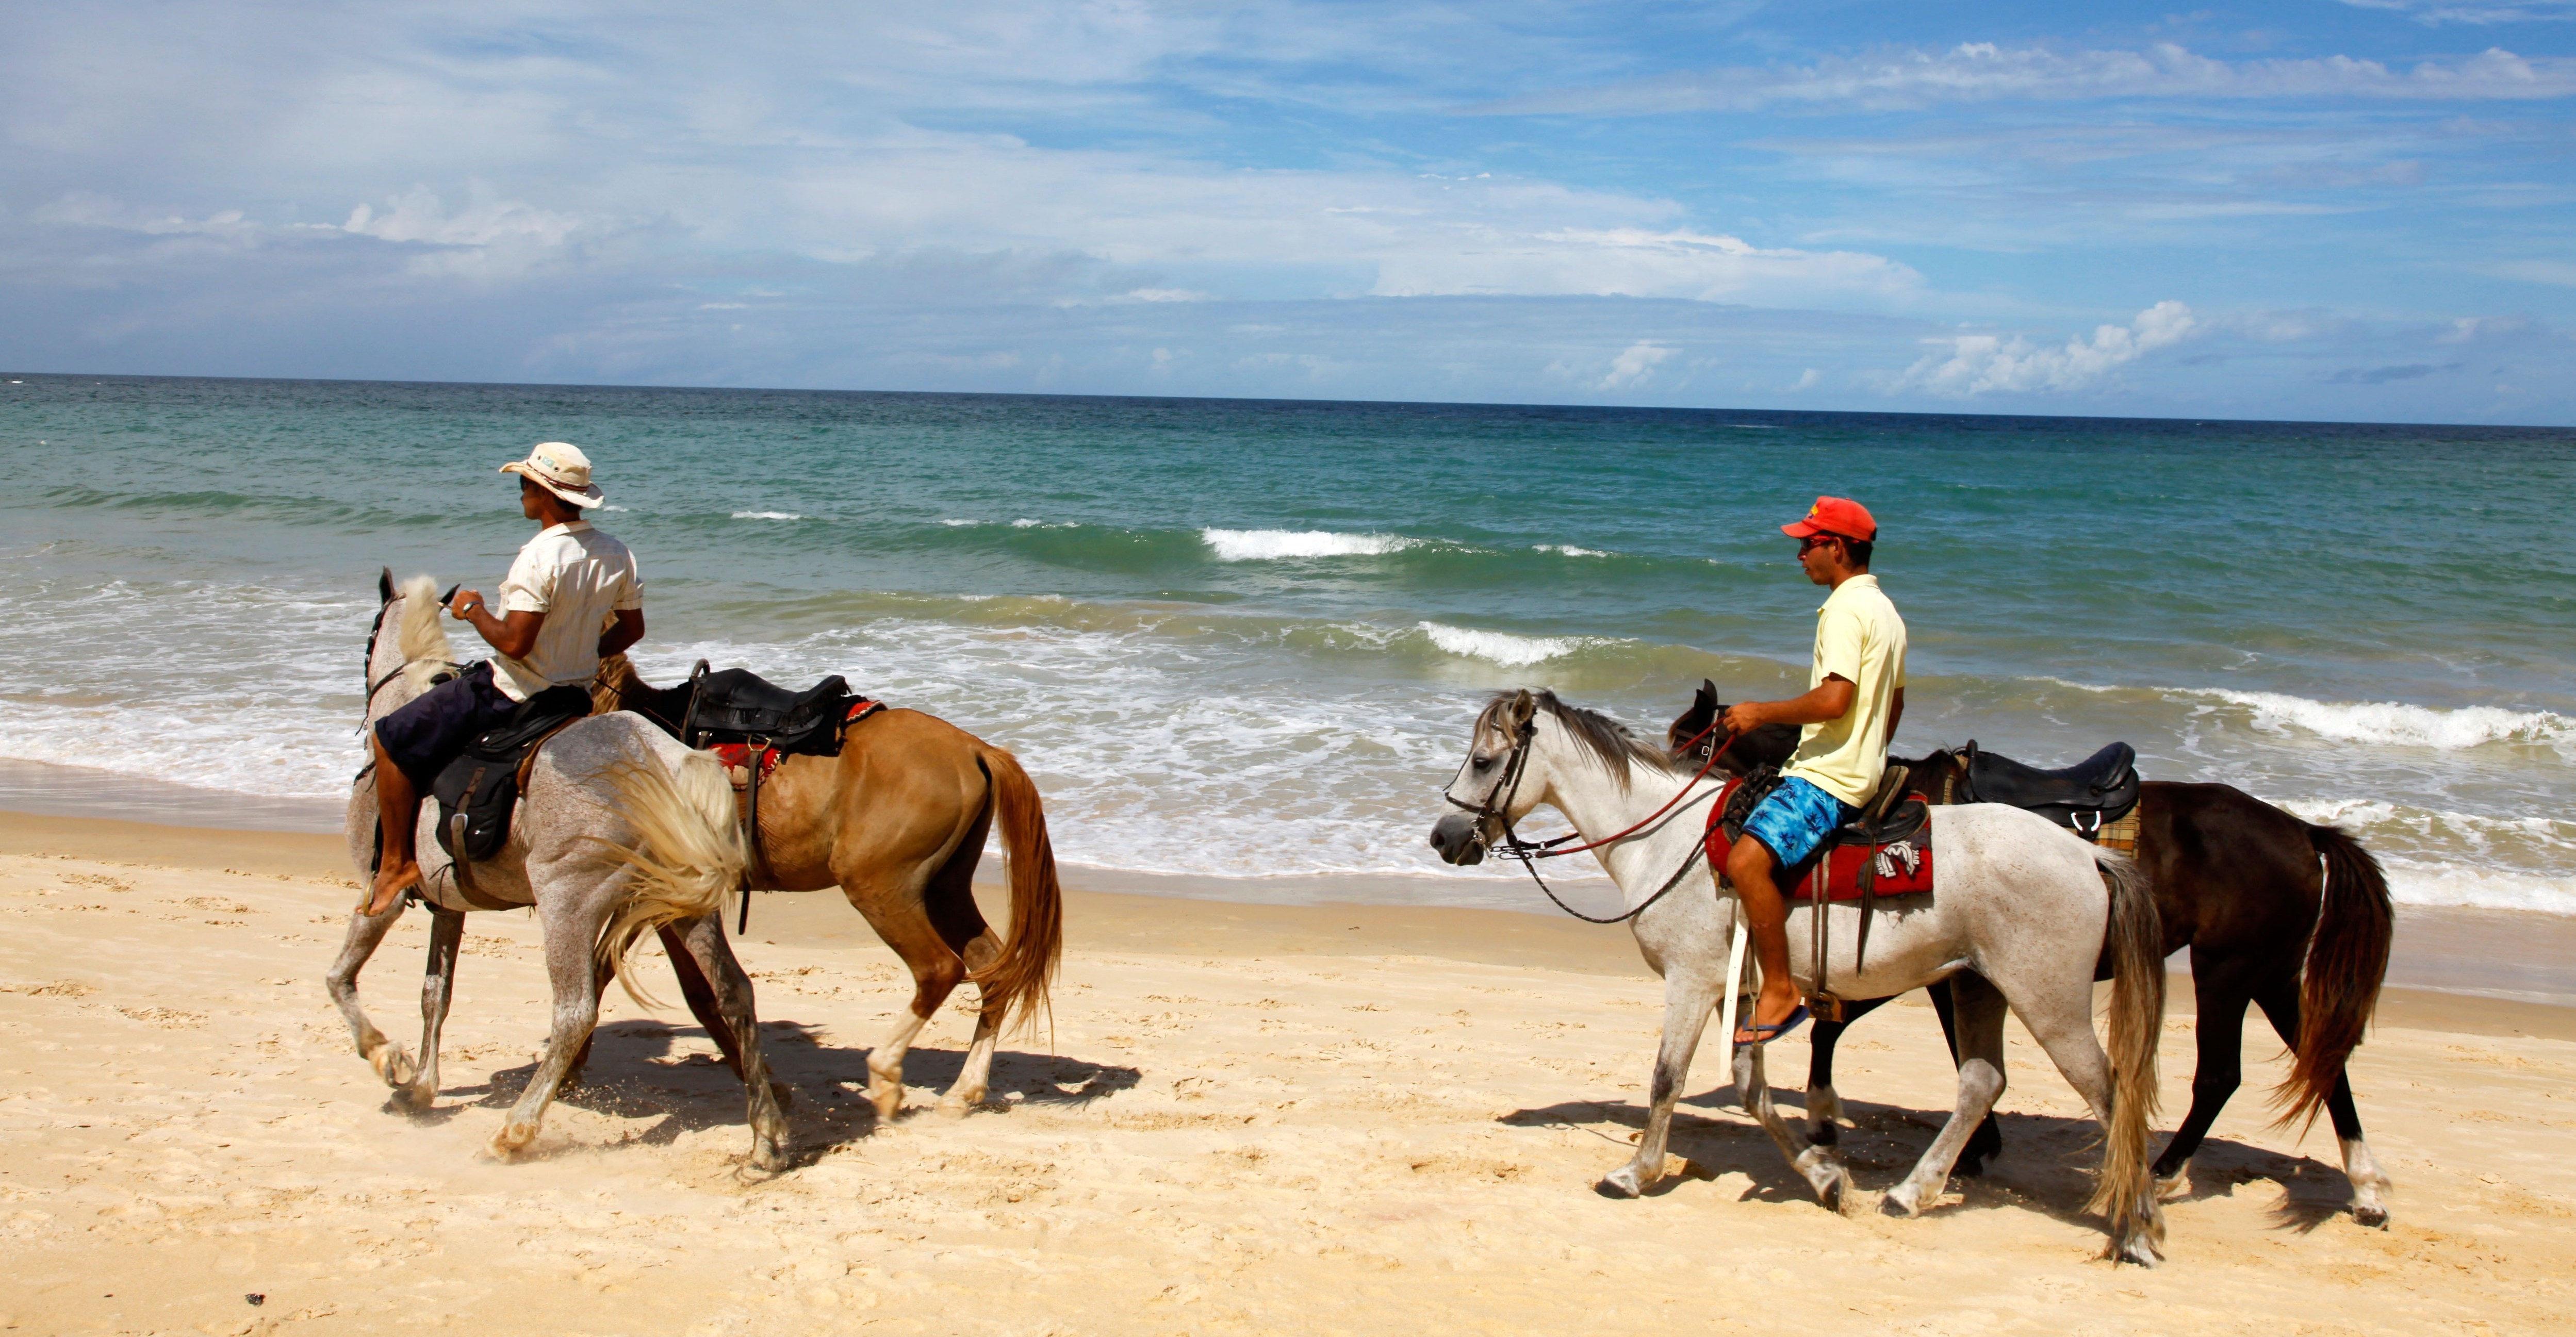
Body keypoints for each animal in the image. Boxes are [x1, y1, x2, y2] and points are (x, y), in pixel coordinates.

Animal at [322, 574, 788, 1175]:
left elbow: (340, 978)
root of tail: (668, 762)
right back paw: (766, 1139)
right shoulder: (448, 906)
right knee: (735, 994)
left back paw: (514, 1130)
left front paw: (386, 1057)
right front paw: (421, 1086)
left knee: (575, 1013)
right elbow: (434, 995)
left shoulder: (380, 896)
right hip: (687, 910)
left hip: (568, 904)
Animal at [592, 654, 1056, 1123]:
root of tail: (975, 749)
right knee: (991, 969)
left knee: (938, 969)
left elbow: (657, 984)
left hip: (878, 887)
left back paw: (885, 1075)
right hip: (946, 888)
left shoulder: (655, 893)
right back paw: (963, 1091)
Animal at [1432, 690, 2174, 1267]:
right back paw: (1912, 1192)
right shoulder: (1742, 994)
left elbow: (1667, 1079)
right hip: (1976, 986)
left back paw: (2137, 1230)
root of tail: (2086, 856)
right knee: (1981, 1082)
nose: (1443, 837)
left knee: (2109, 1091)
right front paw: (1824, 1178)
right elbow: (1750, 1088)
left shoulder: (1691, 982)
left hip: (2048, 1001)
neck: (1666, 842)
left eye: (1484, 761)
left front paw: (1635, 1172)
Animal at [1659, 685, 2401, 1231]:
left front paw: (1965, 1147)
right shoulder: (1943, 967)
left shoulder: (1935, 967)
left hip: (2227, 971)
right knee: (2323, 1065)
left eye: (1688, 741)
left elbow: (1874, 1035)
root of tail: (2304, 832)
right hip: (2269, 972)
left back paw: (2163, 1171)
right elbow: (1847, 1030)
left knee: (2220, 1075)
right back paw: (2364, 1189)